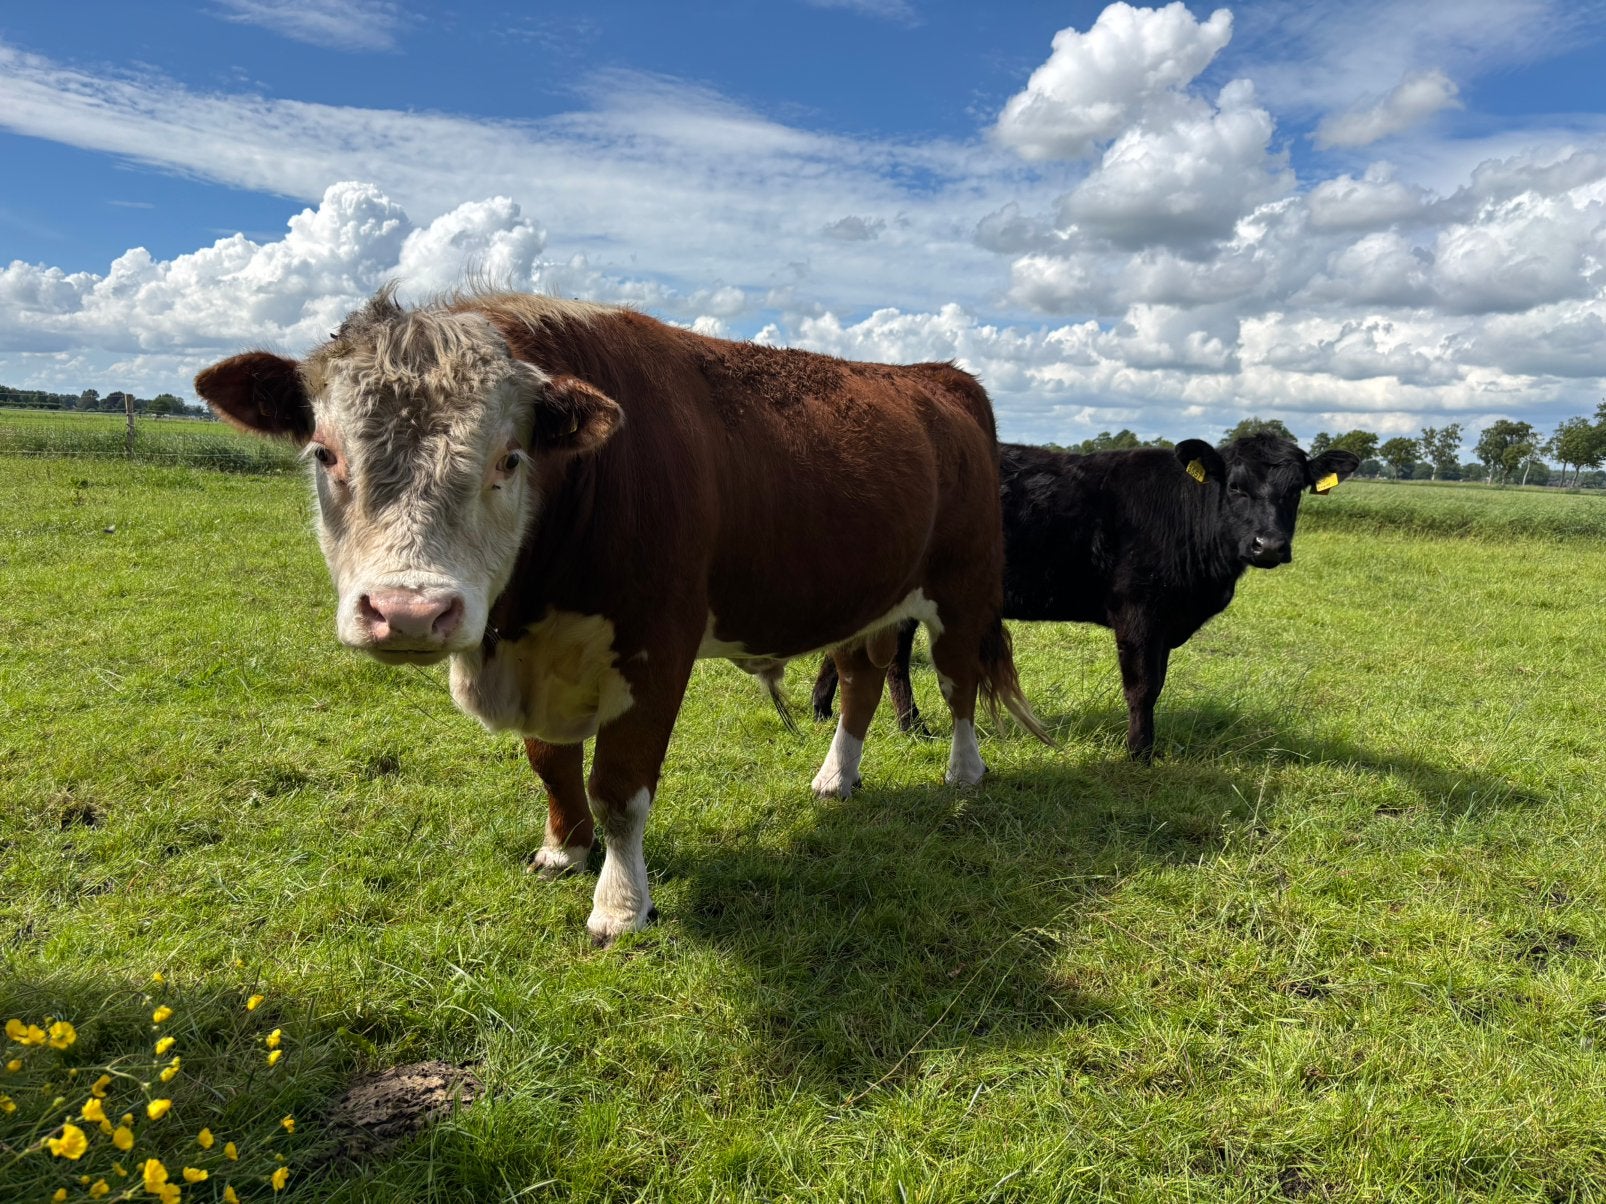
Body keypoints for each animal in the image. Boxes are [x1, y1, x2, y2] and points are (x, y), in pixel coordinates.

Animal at [194, 287, 1050, 944]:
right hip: (861, 599)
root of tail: (938, 376)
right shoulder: (541, 659)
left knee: (958, 683)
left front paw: (619, 904)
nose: (409, 611)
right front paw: (562, 850)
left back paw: (964, 772)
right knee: (861, 682)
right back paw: (836, 778)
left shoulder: (656, 649)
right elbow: (550, 760)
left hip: (963, 588)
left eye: (510, 458)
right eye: (325, 453)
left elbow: (619, 786)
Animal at [812, 434, 1360, 760]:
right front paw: (1139, 753)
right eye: (1237, 487)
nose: (1269, 545)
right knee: (894, 659)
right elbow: (1143, 687)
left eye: (1297, 489)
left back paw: (826, 710)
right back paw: (912, 728)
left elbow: (1156, 683)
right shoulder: (1139, 611)